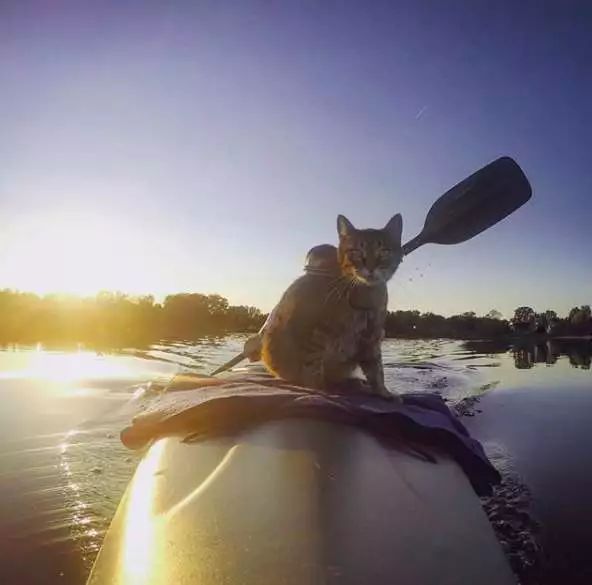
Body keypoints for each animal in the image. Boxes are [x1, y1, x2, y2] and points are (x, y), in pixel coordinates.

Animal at [262, 212, 404, 400]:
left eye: (383, 251)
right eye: (356, 251)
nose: (371, 267)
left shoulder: (372, 336)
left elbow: (377, 370)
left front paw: (383, 392)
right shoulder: (315, 334)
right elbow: (312, 367)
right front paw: (319, 390)